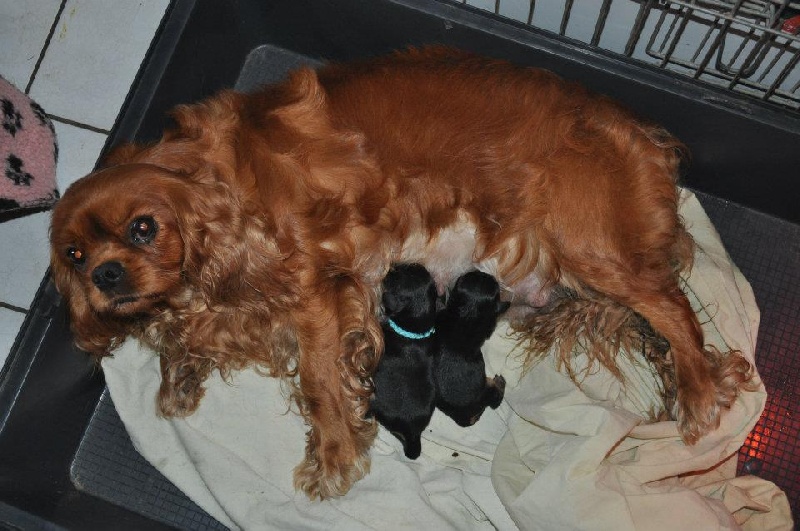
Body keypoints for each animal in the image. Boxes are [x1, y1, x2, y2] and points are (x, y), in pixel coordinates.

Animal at [368, 264, 438, 460]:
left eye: (395, 276)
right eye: (412, 267)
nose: (392, 265)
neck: (414, 332)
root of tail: (413, 434)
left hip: (376, 402)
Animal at [434, 270, 510, 428]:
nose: (484, 272)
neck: (468, 314)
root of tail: (463, 418)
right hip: (487, 390)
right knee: (495, 400)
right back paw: (500, 382)